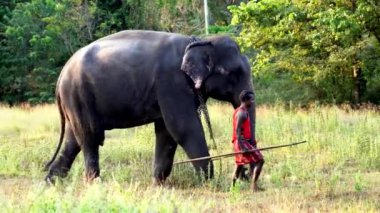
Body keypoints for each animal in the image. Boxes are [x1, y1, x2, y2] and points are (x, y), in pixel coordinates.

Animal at [46, 29, 256, 183]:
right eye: (231, 73)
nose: (244, 175)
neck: (199, 40)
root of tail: (62, 74)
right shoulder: (172, 82)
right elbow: (183, 127)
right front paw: (208, 181)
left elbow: (166, 132)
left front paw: (158, 183)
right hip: (78, 94)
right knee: (90, 136)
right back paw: (94, 184)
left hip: (75, 101)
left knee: (74, 140)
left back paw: (51, 182)